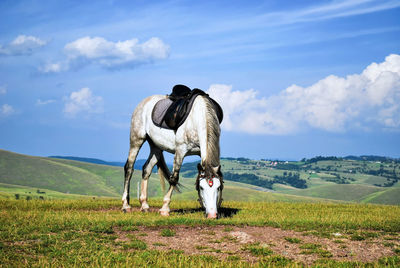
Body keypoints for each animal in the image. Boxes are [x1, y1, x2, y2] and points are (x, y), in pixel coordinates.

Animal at [120, 91, 223, 219]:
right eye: (201, 187)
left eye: (218, 187)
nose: (212, 215)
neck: (198, 118)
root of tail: (144, 102)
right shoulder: (180, 151)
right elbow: (174, 178)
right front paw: (165, 209)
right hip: (136, 139)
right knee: (129, 168)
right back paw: (126, 205)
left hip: (156, 147)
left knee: (146, 169)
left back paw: (144, 205)